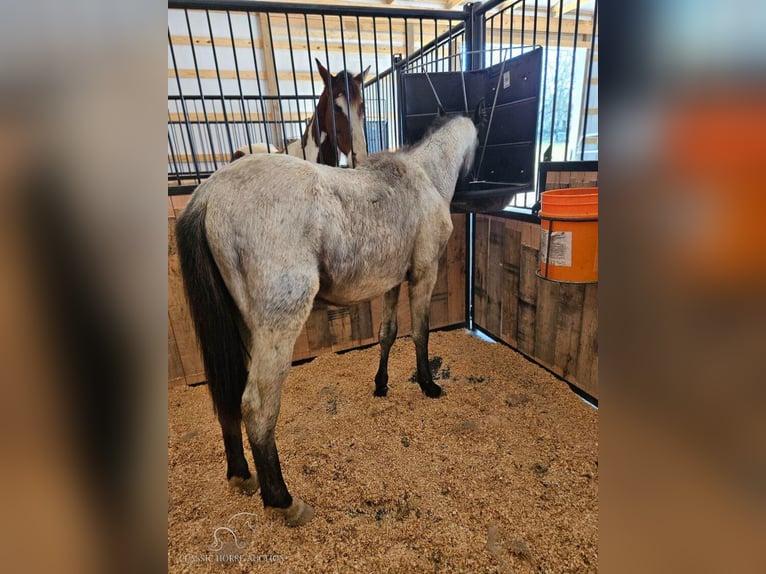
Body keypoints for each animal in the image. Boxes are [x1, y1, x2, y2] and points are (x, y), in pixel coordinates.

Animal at [178, 102, 486, 528]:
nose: (476, 176)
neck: (423, 176)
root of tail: (208, 193)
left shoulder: (391, 282)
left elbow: (388, 332)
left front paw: (381, 385)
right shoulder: (424, 274)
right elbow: (421, 333)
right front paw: (428, 385)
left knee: (228, 396)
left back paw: (241, 475)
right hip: (278, 325)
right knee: (256, 406)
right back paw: (284, 501)